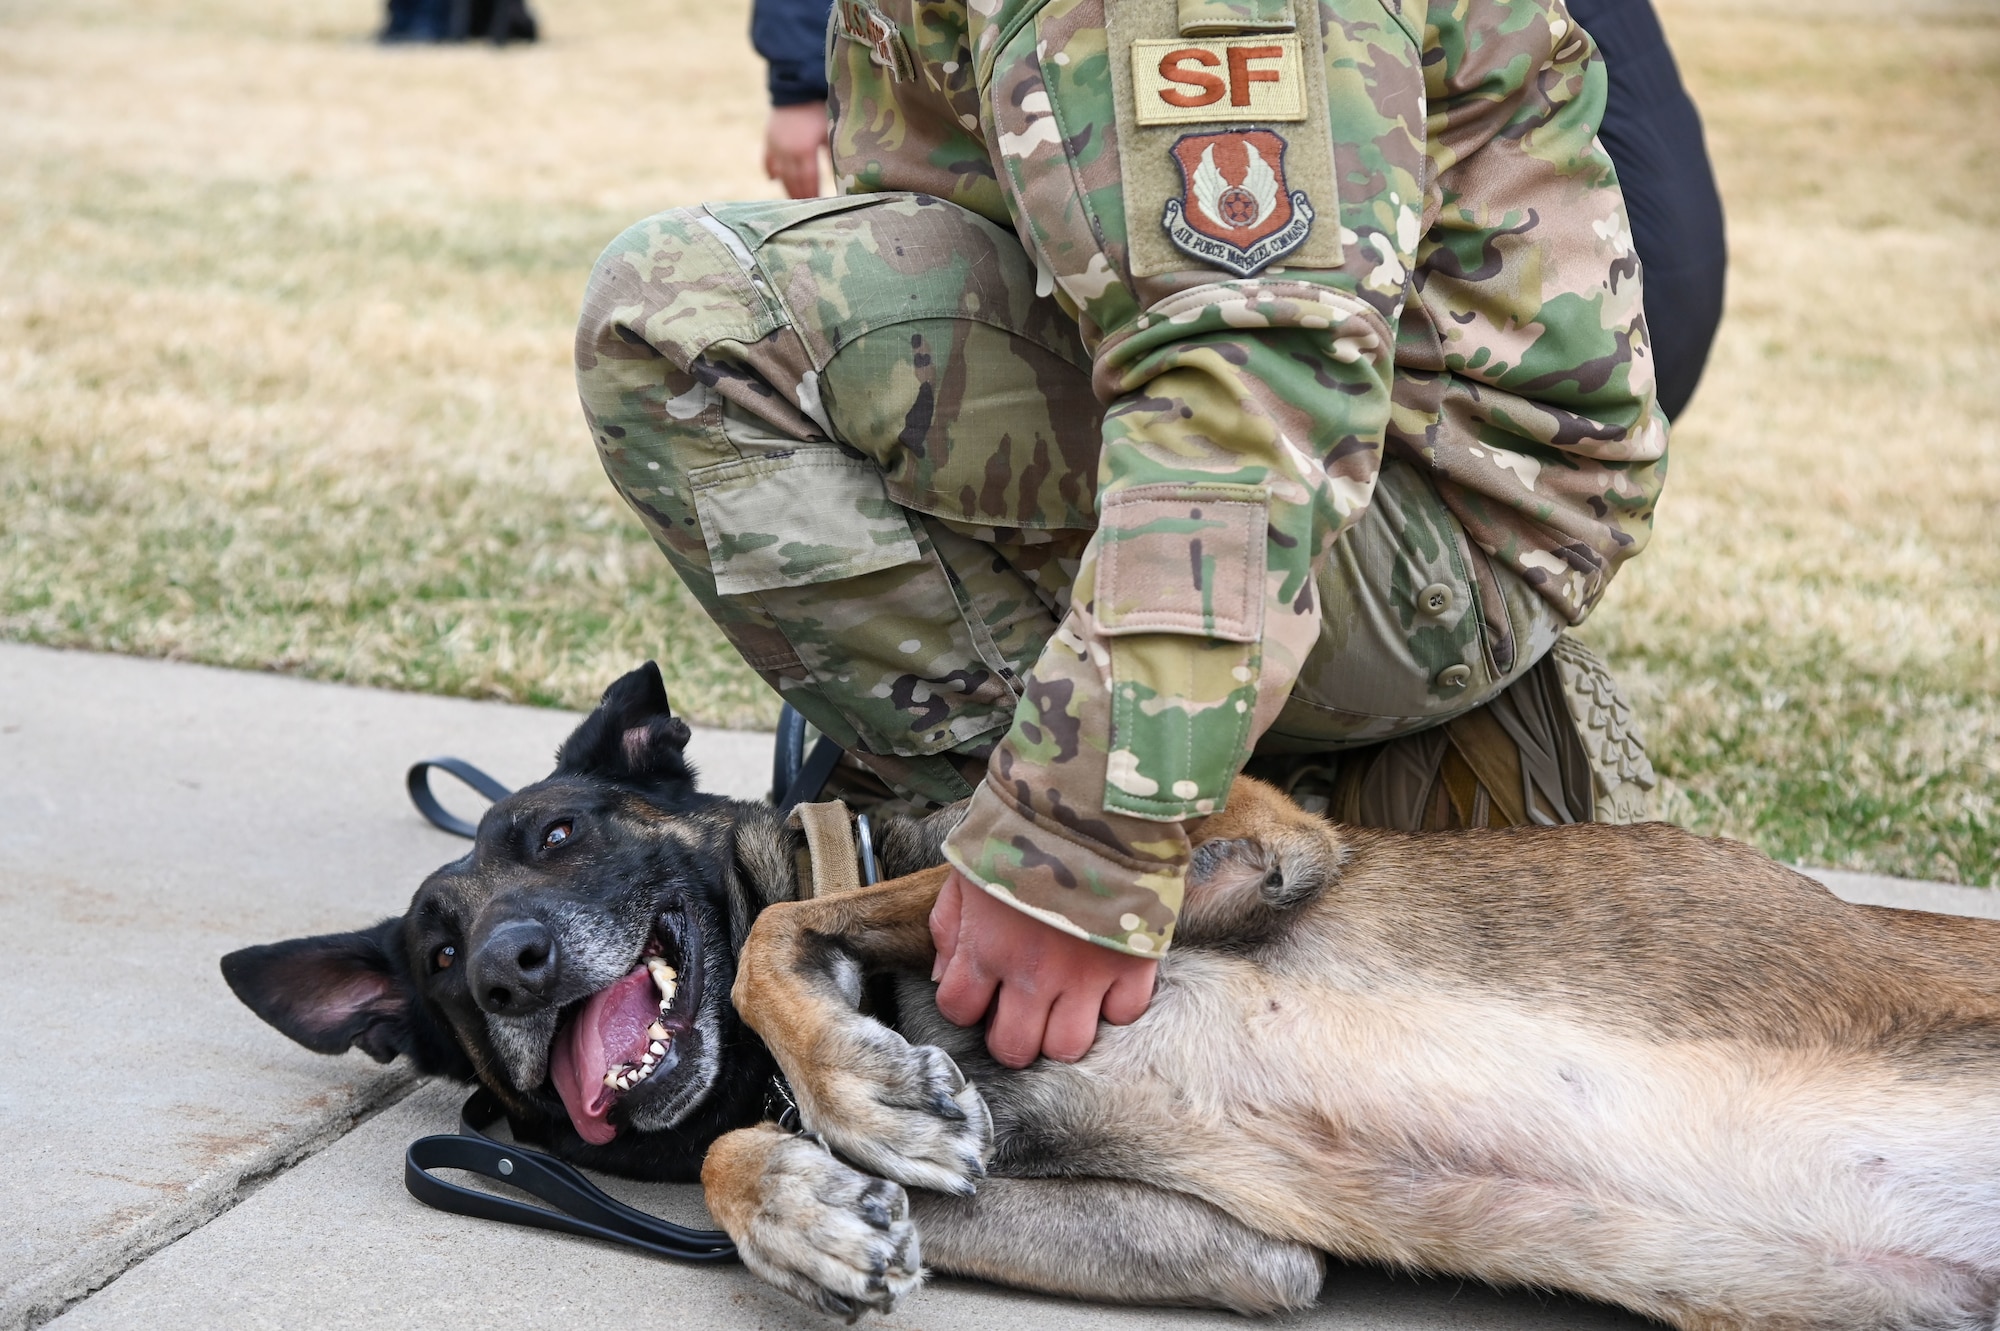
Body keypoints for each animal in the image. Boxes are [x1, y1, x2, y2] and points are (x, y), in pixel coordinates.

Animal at [223, 663, 2000, 1327]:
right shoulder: (1238, 1251)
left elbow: (792, 913)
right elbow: (777, 1147)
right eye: (434, 957)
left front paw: (856, 1097)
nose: (510, 965)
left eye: (554, 832)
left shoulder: (1240, 844)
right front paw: (810, 1209)